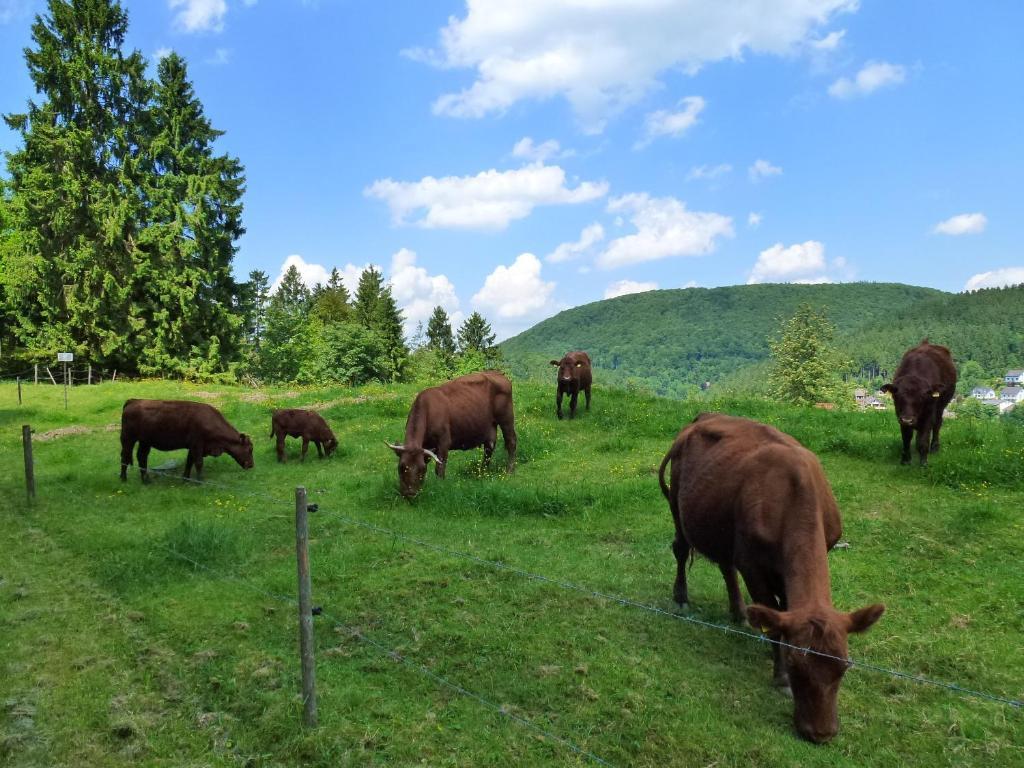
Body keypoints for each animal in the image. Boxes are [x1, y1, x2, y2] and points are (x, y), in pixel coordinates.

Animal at [119, 399, 253, 483]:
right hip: (128, 439)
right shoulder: (198, 445)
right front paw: (200, 481)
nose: (251, 465)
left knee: (142, 457)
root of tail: (133, 401)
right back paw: (124, 479)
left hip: (145, 442)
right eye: (250, 449)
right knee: (125, 457)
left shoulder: (192, 447)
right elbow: (198, 463)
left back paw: (146, 480)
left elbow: (189, 462)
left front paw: (186, 479)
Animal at [387, 370, 516, 499]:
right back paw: (482, 473)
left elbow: (440, 467)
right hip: (490, 425)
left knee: (511, 442)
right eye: (401, 467)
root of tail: (497, 373)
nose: (410, 493)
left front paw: (440, 486)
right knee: (489, 448)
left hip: (506, 419)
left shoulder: (444, 442)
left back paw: (509, 472)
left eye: (422, 470)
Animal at [659, 415, 884, 745]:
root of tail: (703, 417)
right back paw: (682, 598)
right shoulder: (753, 566)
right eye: (794, 664)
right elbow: (775, 623)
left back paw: (739, 612)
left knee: (725, 566)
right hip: (678, 505)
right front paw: (780, 677)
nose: (821, 733)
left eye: (844, 666)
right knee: (681, 547)